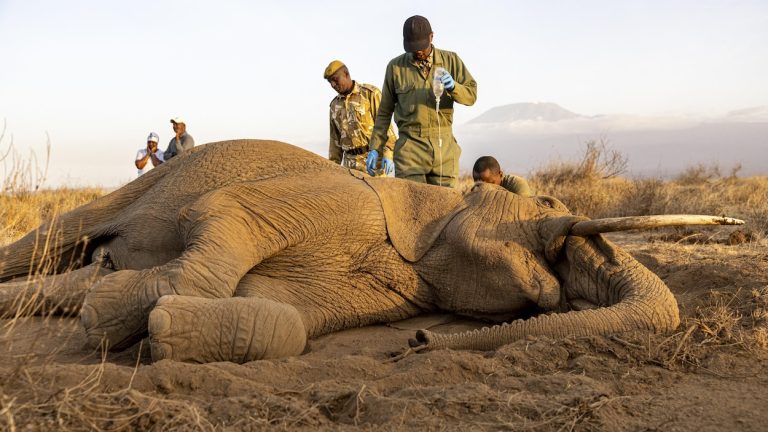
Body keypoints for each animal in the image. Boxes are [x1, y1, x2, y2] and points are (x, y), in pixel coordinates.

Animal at [0, 140, 743, 363]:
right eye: (550, 209)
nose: (417, 341)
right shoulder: (349, 200)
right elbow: (223, 213)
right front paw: (117, 317)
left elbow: (288, 322)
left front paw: (158, 330)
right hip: (138, 183)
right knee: (55, 236)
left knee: (60, 279)